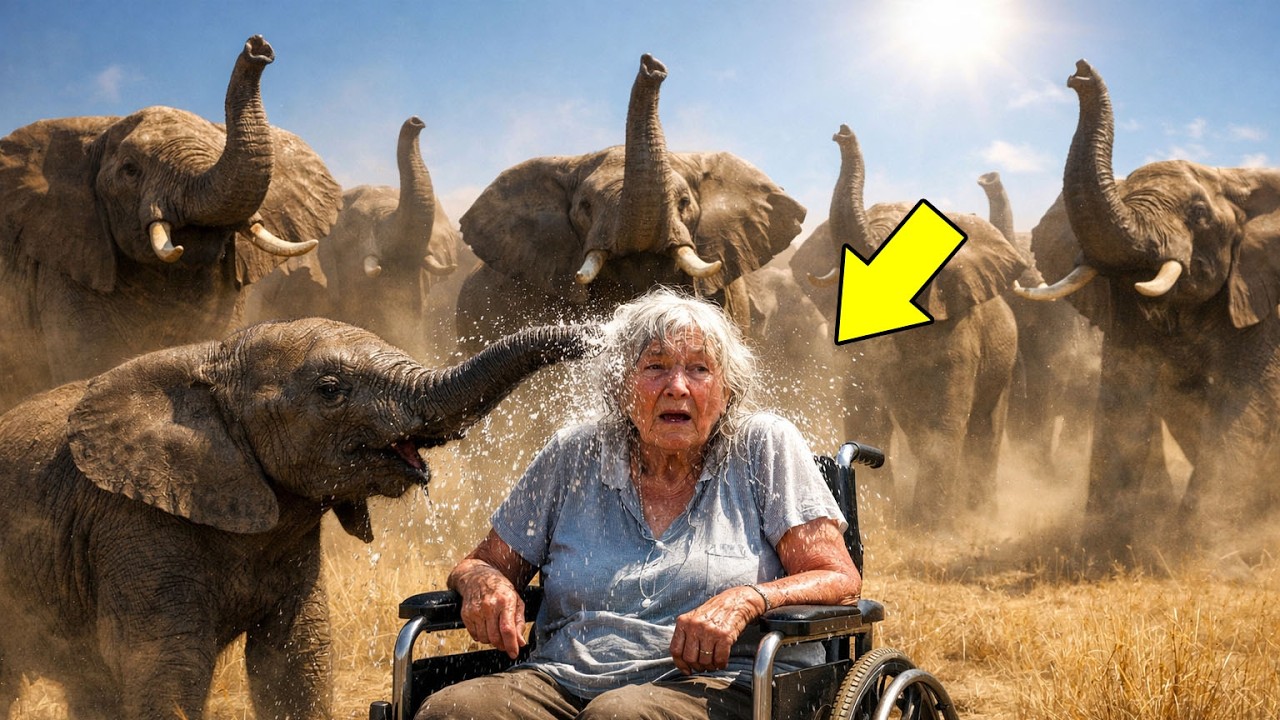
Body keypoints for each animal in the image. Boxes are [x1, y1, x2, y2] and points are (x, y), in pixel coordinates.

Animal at [0, 316, 594, 720]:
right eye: (330, 391)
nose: (595, 334)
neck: (215, 358)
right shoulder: (135, 522)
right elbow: (168, 667)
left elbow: (293, 660)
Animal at [790, 125, 1026, 527]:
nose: (842, 132)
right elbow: (866, 410)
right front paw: (883, 516)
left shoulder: (961, 335)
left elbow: (946, 420)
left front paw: (929, 528)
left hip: (1004, 364)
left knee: (984, 428)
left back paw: (978, 514)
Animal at [1014, 60, 1280, 566]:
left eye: (1199, 214)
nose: (1078, 73)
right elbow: (1125, 395)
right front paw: (1101, 552)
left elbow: (1247, 401)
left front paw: (1196, 555)